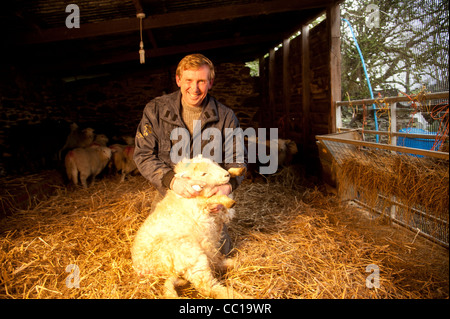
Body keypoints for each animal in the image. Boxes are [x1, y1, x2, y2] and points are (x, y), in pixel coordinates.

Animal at [132, 156, 248, 300]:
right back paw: (237, 294)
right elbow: (211, 199)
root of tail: (144, 269)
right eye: (203, 174)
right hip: (191, 257)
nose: (225, 176)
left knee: (215, 262)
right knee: (206, 286)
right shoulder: (200, 202)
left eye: (214, 163)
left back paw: (235, 262)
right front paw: (227, 201)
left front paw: (237, 170)